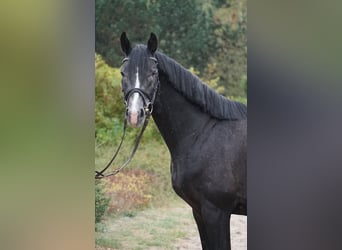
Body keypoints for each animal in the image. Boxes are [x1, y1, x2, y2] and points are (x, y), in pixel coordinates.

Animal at [118, 32, 246, 250]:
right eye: (123, 73)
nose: (135, 115)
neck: (202, 134)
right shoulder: (199, 211)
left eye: (153, 73)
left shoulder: (216, 212)